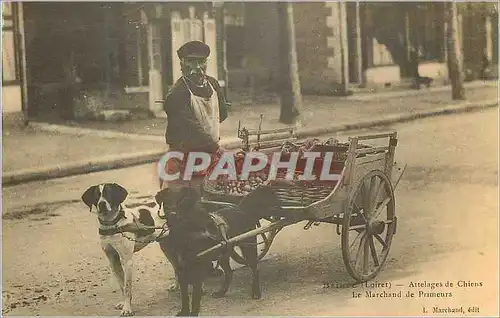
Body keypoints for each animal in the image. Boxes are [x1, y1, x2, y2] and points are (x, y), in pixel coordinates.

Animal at [79, 183, 170, 316]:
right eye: (96, 195)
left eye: (109, 193)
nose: (102, 204)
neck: (112, 225)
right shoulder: (113, 260)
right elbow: (122, 286)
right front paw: (124, 304)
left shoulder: (127, 261)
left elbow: (127, 287)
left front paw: (127, 308)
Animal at [154, 185, 284, 316]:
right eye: (166, 202)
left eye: (182, 201)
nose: (173, 213)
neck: (186, 232)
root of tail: (241, 209)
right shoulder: (181, 270)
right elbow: (184, 296)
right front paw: (184, 312)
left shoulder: (197, 271)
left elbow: (195, 298)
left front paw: (193, 313)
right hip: (224, 252)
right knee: (229, 273)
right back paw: (222, 292)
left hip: (248, 247)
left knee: (255, 268)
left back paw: (256, 292)